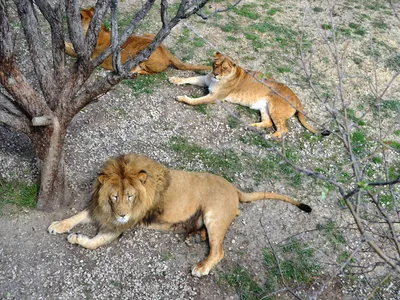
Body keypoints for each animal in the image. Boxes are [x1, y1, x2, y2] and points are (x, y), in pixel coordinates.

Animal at [47, 155, 312, 276]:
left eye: (130, 196)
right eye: (114, 196)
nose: (122, 214)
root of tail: (234, 188)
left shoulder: (120, 226)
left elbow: (93, 243)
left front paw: (76, 238)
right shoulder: (100, 209)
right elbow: (78, 215)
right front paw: (58, 225)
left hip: (213, 215)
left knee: (219, 251)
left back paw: (201, 267)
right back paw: (193, 236)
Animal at [65, 7, 212, 74]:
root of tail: (168, 53)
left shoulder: (87, 58)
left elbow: (68, 48)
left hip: (143, 54)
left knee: (147, 72)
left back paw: (134, 70)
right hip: (150, 35)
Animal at [170, 52, 330, 138]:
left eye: (224, 68)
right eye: (215, 64)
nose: (215, 74)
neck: (217, 80)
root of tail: (297, 98)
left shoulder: (215, 97)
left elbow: (195, 101)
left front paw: (182, 98)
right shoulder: (204, 80)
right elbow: (189, 79)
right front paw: (174, 79)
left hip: (275, 108)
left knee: (283, 129)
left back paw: (269, 136)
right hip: (265, 108)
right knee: (268, 122)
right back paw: (252, 126)